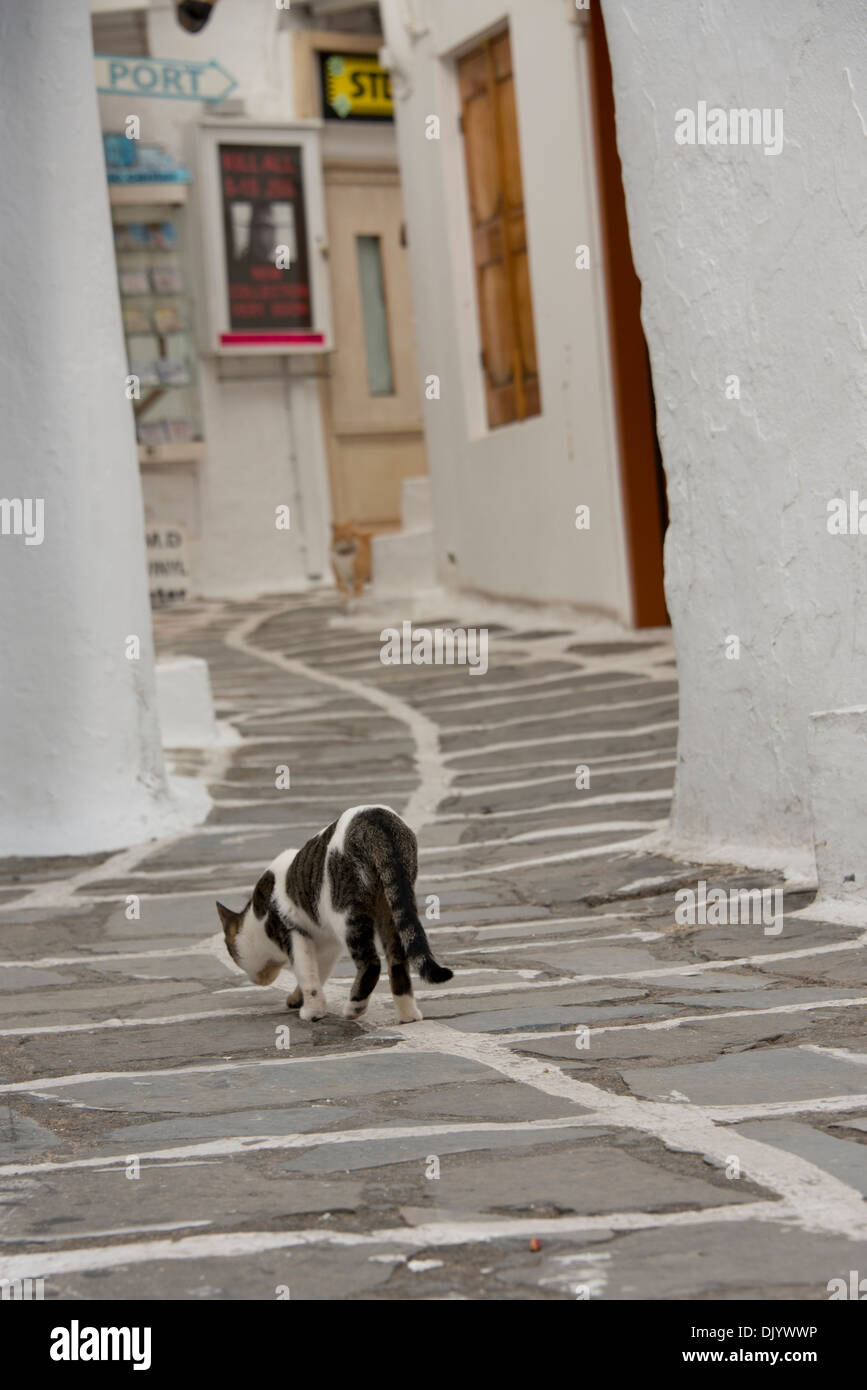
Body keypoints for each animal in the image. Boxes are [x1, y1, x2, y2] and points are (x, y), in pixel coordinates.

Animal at [215, 806, 452, 1023]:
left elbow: (307, 974)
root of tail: (377, 819)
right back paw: (408, 1015)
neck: (257, 918)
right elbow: (317, 973)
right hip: (392, 907)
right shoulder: (327, 945)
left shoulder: (292, 930)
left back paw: (354, 1008)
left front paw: (312, 1012)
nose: (256, 980)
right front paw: (299, 999)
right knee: (398, 962)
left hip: (347, 913)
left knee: (371, 964)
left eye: (232, 954)